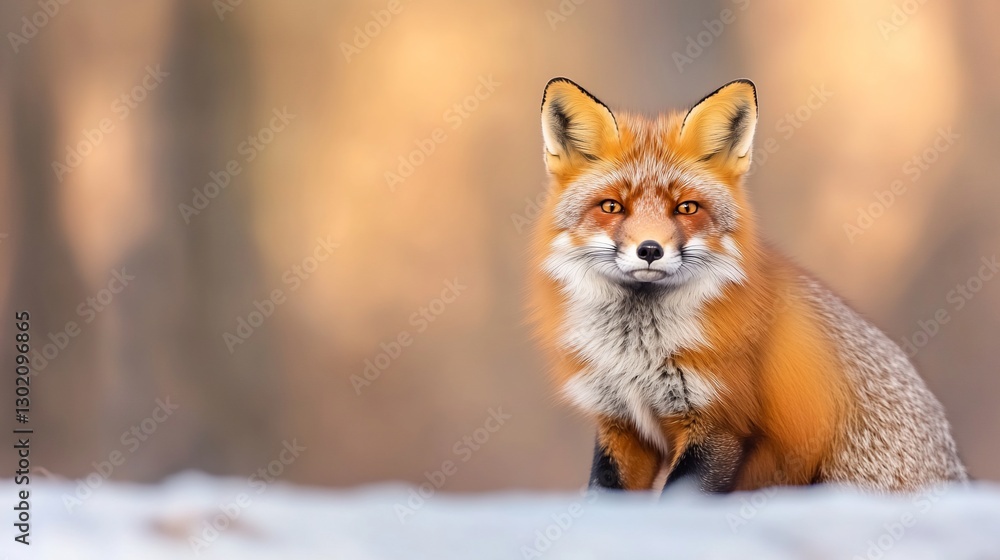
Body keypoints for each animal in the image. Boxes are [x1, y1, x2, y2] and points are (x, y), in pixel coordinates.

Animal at [530, 77, 967, 493]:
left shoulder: (720, 424)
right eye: (612, 207)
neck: (637, 354)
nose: (650, 250)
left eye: (686, 208)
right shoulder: (621, 424)